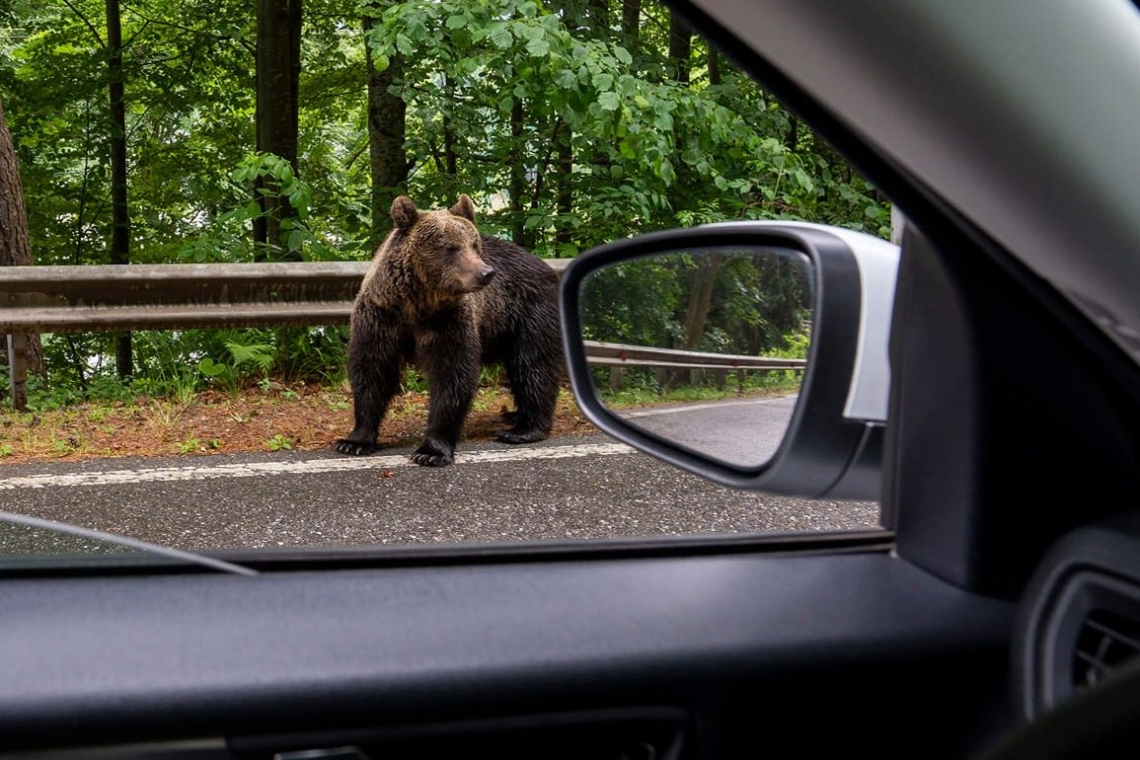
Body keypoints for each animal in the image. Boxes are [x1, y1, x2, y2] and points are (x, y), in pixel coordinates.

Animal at [332, 193, 563, 467]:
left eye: (474, 245)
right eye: (451, 248)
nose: (486, 273)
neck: (416, 303)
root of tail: (545, 266)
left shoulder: (448, 320)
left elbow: (452, 373)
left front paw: (431, 451)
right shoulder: (381, 316)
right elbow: (372, 370)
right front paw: (354, 442)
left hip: (528, 313)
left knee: (532, 365)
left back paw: (524, 429)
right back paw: (514, 416)